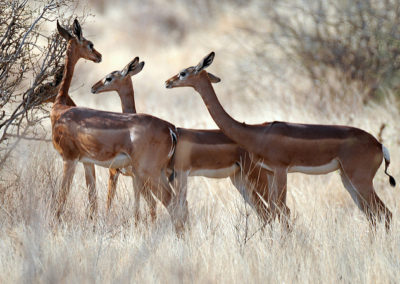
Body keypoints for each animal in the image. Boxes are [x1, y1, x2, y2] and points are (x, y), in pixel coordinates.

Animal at [166, 51, 396, 229]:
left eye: (184, 72)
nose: (168, 82)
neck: (256, 132)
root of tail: (379, 145)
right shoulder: (269, 172)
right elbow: (277, 210)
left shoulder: (280, 169)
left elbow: (282, 210)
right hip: (347, 179)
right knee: (372, 215)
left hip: (360, 179)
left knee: (384, 213)